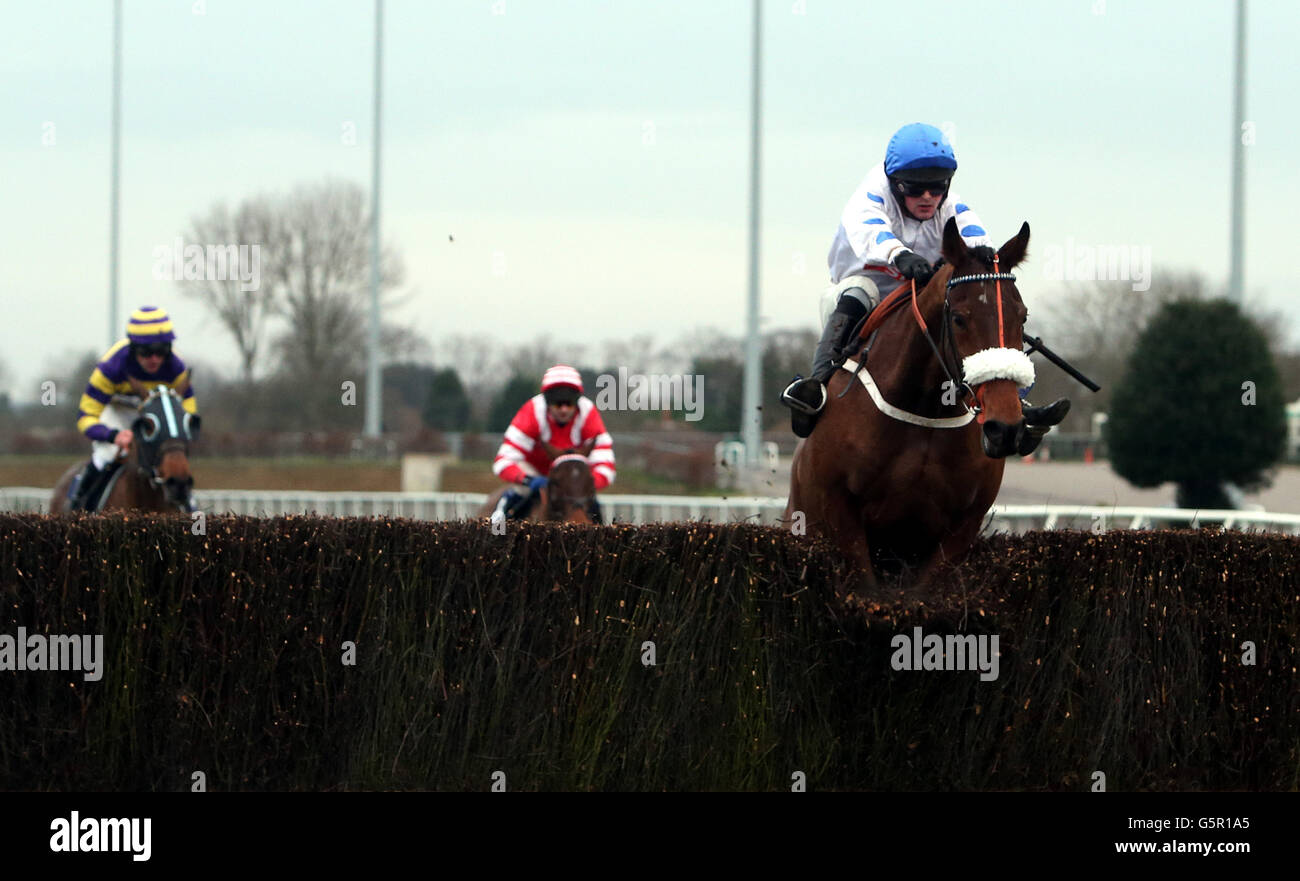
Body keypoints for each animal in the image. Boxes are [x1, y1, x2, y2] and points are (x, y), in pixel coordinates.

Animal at [785, 217, 1040, 597]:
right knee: (859, 287)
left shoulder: (962, 526)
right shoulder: (841, 512)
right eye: (959, 318)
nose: (1005, 427)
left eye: (1021, 317)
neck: (926, 411)